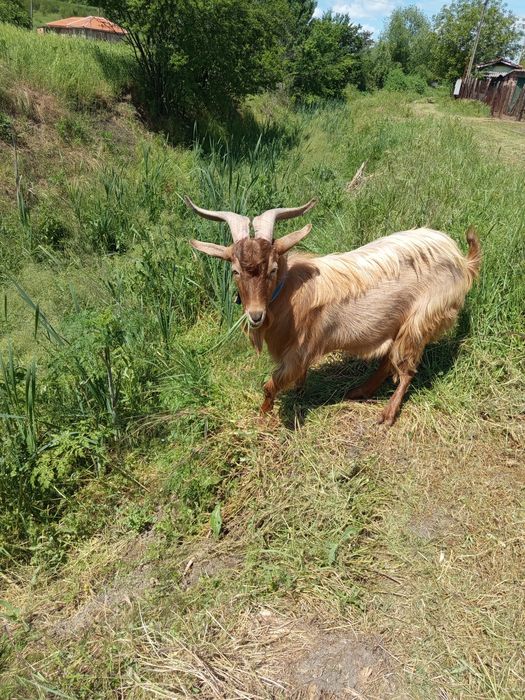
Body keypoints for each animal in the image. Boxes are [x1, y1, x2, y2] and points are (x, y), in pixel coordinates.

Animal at [187, 197, 481, 425]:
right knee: (388, 361)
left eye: (272, 269)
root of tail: (462, 262)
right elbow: (297, 378)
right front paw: (298, 393)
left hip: (420, 320)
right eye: (235, 271)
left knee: (406, 370)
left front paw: (262, 415)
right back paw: (360, 391)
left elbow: (271, 385)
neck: (289, 292)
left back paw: (387, 415)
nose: (255, 316)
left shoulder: (298, 350)